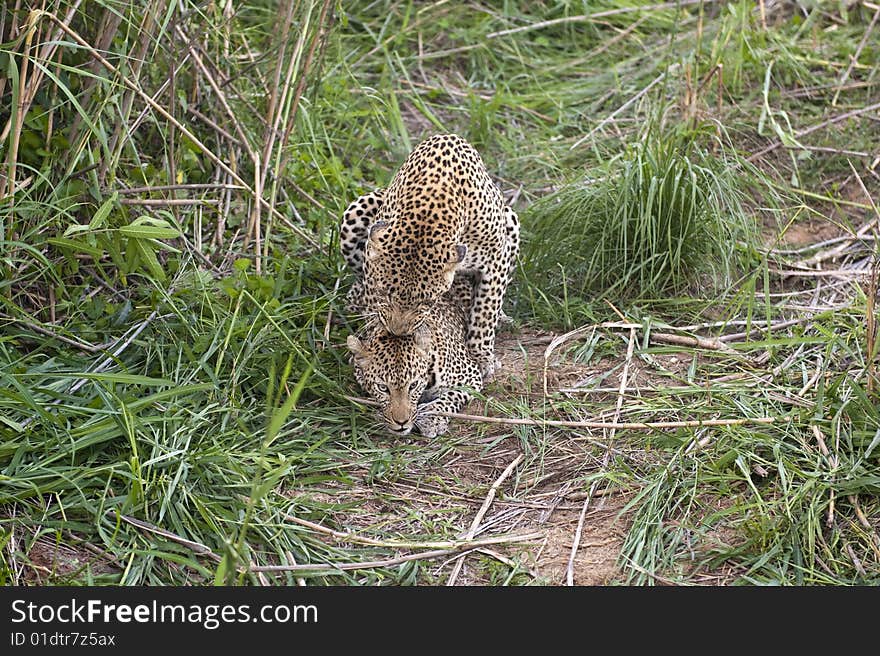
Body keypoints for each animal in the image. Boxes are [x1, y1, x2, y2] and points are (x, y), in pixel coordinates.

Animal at [336, 133, 516, 380]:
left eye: (427, 302)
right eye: (383, 292)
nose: (397, 331)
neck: (429, 214)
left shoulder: (495, 258)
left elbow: (485, 312)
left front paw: (481, 356)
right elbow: (373, 305)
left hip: (511, 220)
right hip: (357, 211)